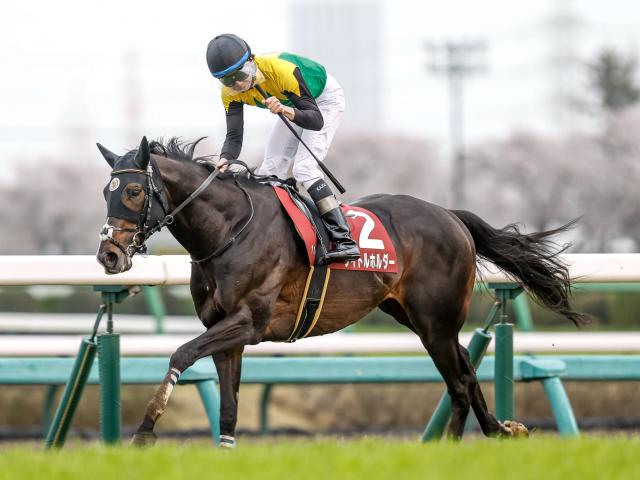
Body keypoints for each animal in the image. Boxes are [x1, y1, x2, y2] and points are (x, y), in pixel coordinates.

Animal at [95, 135, 584, 446]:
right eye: (106, 191)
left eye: (134, 190)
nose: (109, 256)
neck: (230, 231)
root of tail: (451, 215)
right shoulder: (227, 332)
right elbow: (228, 402)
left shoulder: (248, 322)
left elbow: (181, 353)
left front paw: (145, 430)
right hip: (417, 317)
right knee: (465, 367)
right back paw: (500, 429)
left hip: (435, 322)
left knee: (459, 382)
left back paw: (446, 448)